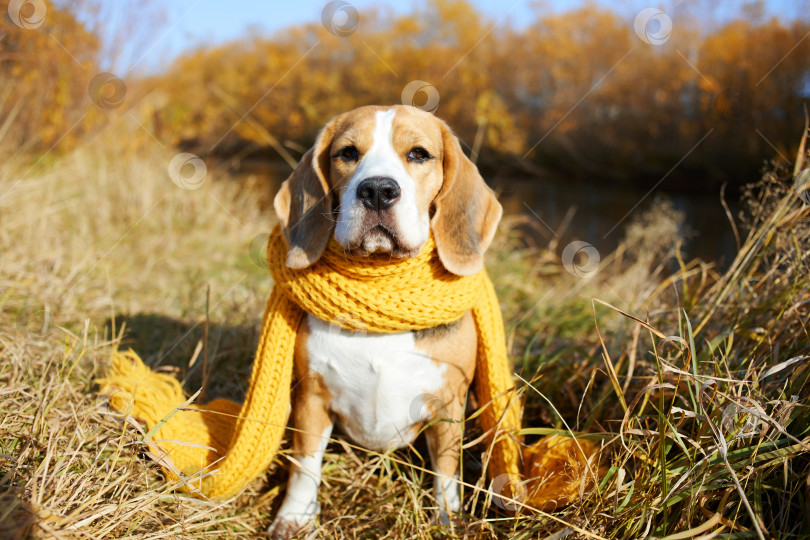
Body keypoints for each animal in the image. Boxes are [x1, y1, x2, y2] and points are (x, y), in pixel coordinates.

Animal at [268, 104, 502, 536]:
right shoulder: (311, 398)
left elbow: (446, 471)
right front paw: (294, 517)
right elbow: (305, 465)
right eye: (347, 153)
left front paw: (447, 520)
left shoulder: (448, 404)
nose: (377, 190)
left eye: (419, 154)